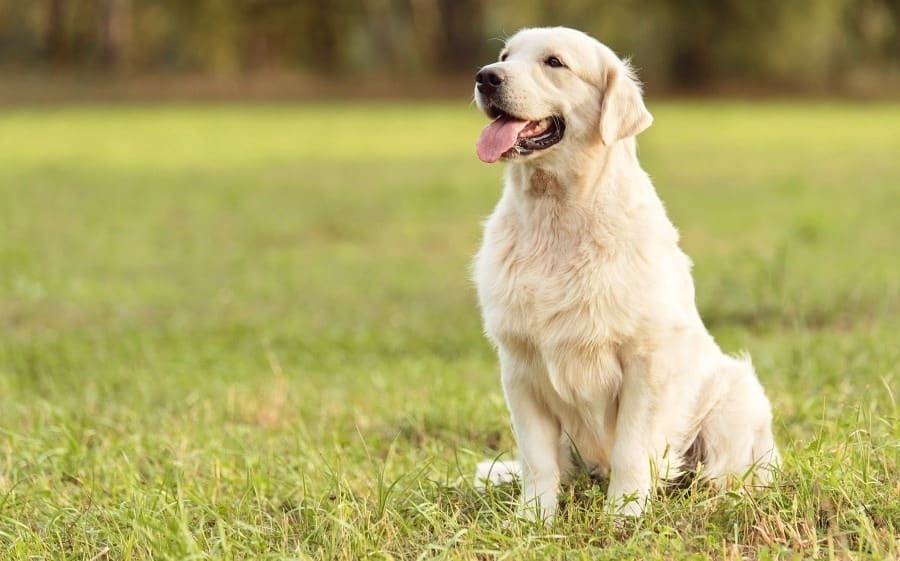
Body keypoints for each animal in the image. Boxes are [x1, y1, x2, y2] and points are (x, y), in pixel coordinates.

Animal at [474, 24, 776, 520]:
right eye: (504, 56)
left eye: (554, 62)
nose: (485, 77)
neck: (557, 217)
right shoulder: (520, 365)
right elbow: (537, 459)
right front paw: (534, 518)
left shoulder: (646, 361)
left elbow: (632, 450)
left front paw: (624, 514)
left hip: (737, 394)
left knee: (727, 474)